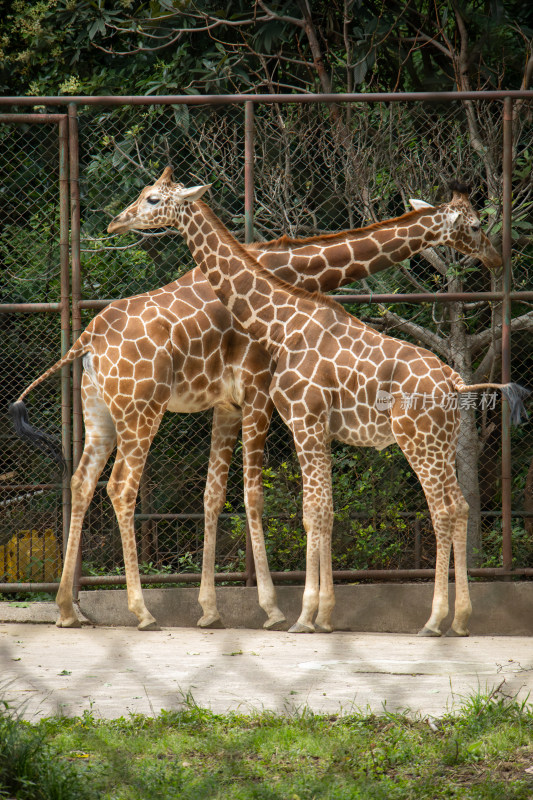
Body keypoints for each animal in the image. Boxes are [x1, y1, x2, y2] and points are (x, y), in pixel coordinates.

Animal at [10, 169, 502, 632]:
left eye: (151, 197)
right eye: (477, 225)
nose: (495, 257)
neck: (292, 273)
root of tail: (87, 338)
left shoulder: (233, 404)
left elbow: (218, 497)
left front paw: (215, 610)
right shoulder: (257, 392)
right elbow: (256, 497)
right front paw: (274, 608)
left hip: (101, 413)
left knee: (81, 482)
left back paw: (68, 609)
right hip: (140, 410)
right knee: (120, 487)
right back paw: (140, 611)